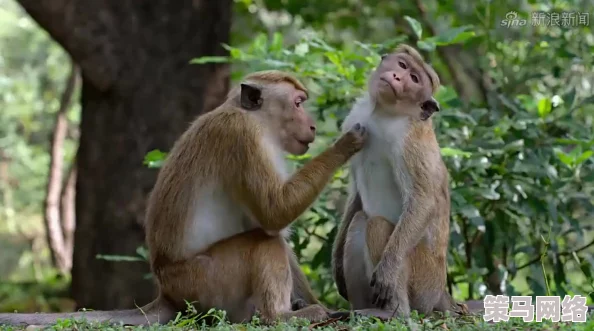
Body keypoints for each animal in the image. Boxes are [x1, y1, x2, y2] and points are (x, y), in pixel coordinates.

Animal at [0, 71, 366, 328]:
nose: (313, 126)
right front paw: (346, 144)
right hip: (205, 281)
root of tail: (167, 289)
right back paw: (278, 317)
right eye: (298, 103)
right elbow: (275, 214)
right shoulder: (242, 139)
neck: (256, 121)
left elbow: (275, 224)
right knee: (262, 243)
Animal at [328, 45, 468, 320]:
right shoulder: (355, 120)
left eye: (414, 79)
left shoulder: (409, 143)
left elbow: (423, 199)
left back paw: (396, 312)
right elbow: (357, 196)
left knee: (378, 225)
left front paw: (388, 270)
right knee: (359, 220)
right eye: (402, 65)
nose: (396, 77)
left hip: (424, 281)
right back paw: (362, 309)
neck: (382, 113)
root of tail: (441, 293)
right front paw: (336, 264)